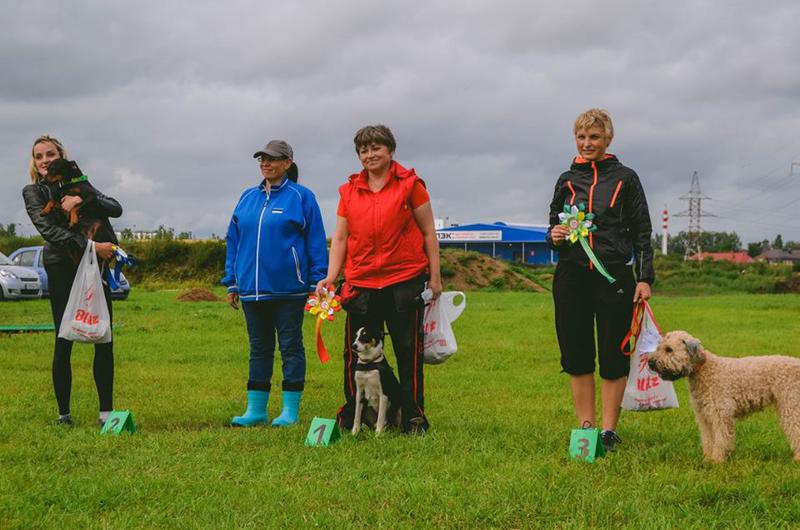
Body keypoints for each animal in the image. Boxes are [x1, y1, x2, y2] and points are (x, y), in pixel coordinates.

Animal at [648, 330, 800, 462]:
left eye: (669, 349)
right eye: (659, 347)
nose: (650, 362)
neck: (704, 369)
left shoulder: (720, 414)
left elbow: (721, 439)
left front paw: (717, 461)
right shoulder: (704, 416)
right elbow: (708, 439)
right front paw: (707, 459)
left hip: (791, 405)